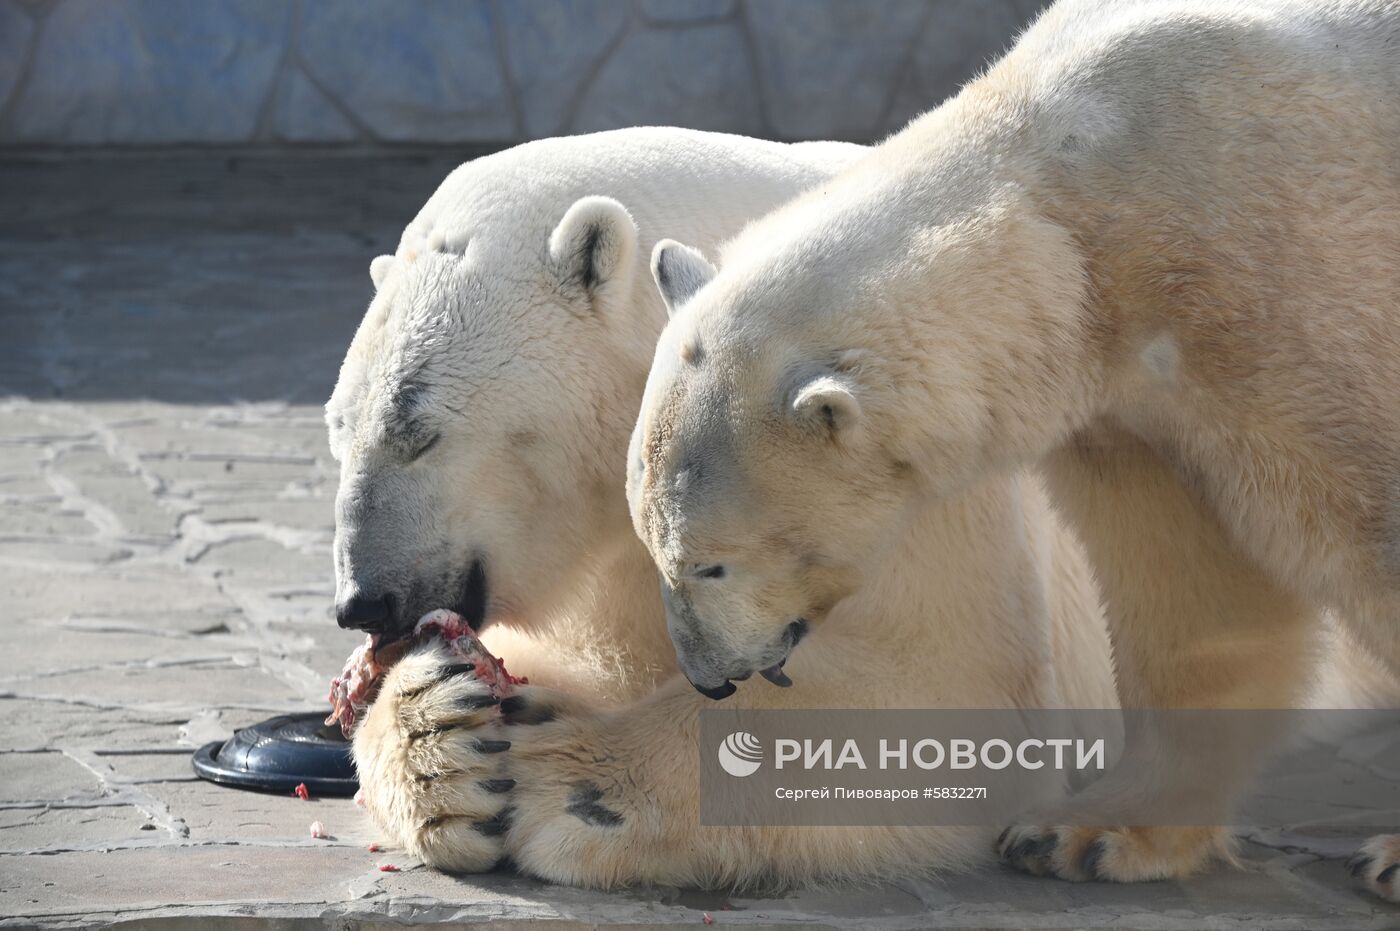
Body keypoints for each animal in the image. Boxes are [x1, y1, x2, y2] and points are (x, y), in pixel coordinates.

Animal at [327, 125, 1114, 884]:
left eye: (419, 433)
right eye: (338, 426)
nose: (364, 600)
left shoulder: (902, 472)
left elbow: (950, 684)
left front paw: (566, 786)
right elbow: (592, 657)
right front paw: (441, 737)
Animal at [630, 0, 1400, 901]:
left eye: (710, 563)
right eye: (652, 544)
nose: (706, 673)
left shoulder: (1288, 286)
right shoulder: (1133, 383)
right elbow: (1190, 585)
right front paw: (1083, 832)